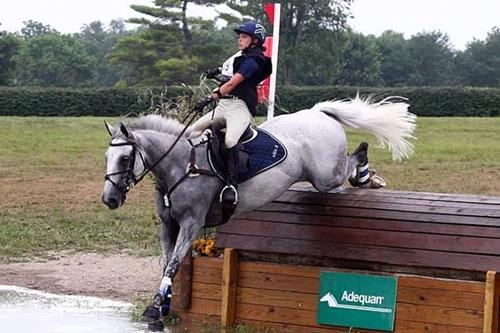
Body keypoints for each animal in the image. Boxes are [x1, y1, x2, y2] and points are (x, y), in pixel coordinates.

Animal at [100, 94, 414, 328]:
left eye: (125, 158)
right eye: (106, 157)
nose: (109, 199)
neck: (180, 164)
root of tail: (318, 112)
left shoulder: (191, 223)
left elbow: (174, 264)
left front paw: (154, 310)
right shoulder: (168, 225)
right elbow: (167, 263)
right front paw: (163, 306)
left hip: (326, 176)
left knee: (352, 160)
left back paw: (367, 177)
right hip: (325, 177)